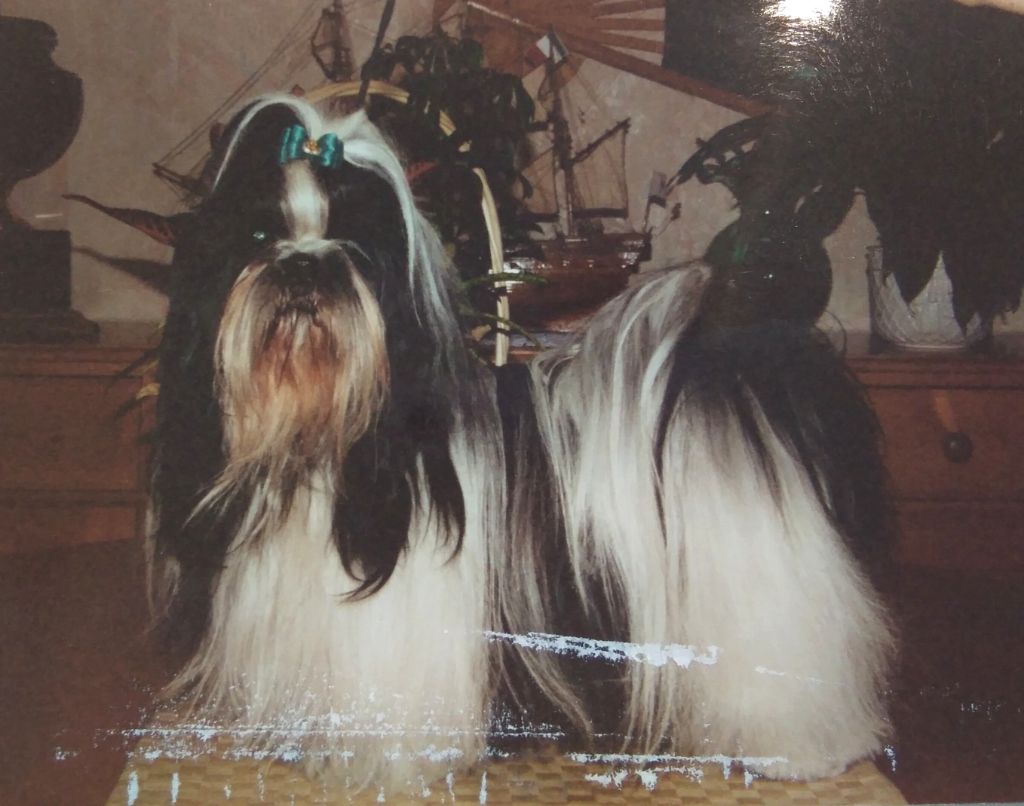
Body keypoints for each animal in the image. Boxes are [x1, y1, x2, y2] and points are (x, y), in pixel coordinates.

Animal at [147, 94, 895, 794]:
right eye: (259, 234)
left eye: (354, 243)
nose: (303, 266)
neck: (322, 438)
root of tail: (731, 379)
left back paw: (804, 754)